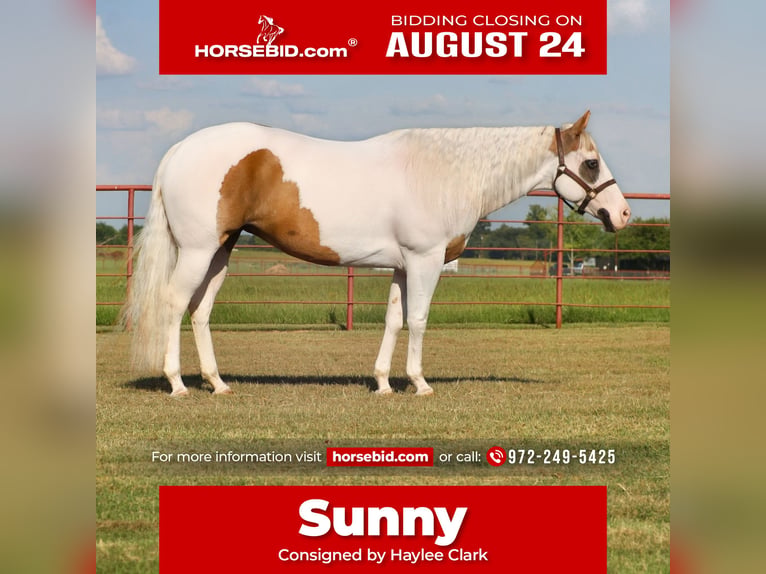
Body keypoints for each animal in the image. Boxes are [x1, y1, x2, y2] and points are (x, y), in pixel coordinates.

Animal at [123, 111, 631, 397]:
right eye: (590, 163)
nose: (622, 214)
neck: (445, 173)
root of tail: (180, 150)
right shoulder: (426, 260)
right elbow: (419, 320)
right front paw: (419, 384)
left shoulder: (404, 266)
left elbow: (393, 319)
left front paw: (384, 383)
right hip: (198, 250)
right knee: (174, 304)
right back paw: (176, 384)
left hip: (220, 252)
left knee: (200, 311)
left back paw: (217, 383)